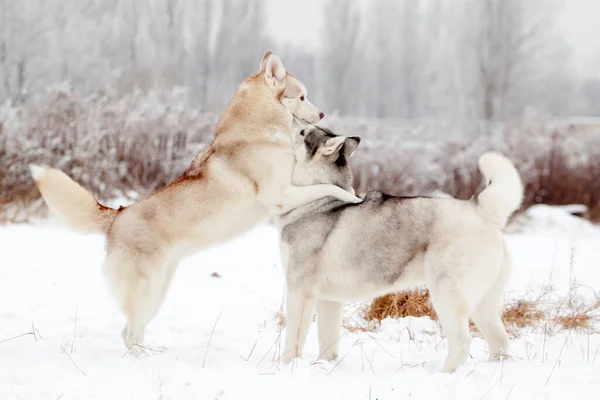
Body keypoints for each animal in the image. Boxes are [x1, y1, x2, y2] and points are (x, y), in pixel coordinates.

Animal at [30, 51, 360, 354]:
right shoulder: (280, 193)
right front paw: (353, 195)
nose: (322, 114)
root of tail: (118, 215)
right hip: (147, 290)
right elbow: (330, 187)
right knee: (130, 332)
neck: (260, 131)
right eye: (302, 96)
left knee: (130, 331)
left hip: (157, 292)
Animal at [278, 127, 524, 372]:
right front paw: (325, 366)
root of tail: (481, 210)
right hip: (483, 303)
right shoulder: (329, 300)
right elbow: (328, 341)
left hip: (448, 296)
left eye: (303, 132)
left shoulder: (300, 291)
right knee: (499, 339)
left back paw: (443, 373)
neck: (316, 201)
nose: (290, 125)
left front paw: (288, 366)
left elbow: (293, 340)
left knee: (462, 341)